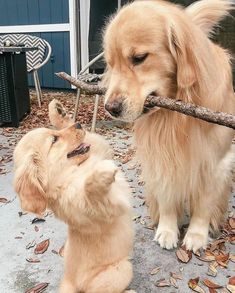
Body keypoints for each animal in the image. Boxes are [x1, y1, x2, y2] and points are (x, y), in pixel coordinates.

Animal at [13, 99, 135, 290]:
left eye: (54, 133)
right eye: (54, 139)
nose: (79, 124)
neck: (69, 174)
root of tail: (68, 281)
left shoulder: (98, 149)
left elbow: (90, 138)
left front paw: (58, 112)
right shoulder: (103, 207)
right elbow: (90, 190)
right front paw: (100, 173)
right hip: (121, 269)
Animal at [103, 0, 235, 251]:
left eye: (139, 57)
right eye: (110, 64)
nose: (110, 108)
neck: (176, 117)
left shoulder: (215, 161)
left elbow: (204, 204)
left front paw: (196, 234)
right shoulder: (160, 156)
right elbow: (166, 197)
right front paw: (167, 230)